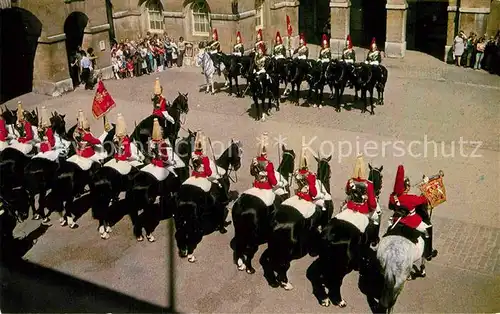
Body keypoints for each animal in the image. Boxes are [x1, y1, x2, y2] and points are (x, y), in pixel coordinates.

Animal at [231, 146, 296, 274]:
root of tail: (241, 208)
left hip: (239, 230)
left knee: (239, 247)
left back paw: (241, 264)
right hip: (252, 236)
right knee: (249, 251)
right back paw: (249, 269)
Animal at [306, 166, 384, 308]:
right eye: (380, 177)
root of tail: (328, 237)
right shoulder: (366, 244)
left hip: (325, 259)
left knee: (318, 277)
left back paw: (324, 299)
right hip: (339, 266)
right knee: (335, 283)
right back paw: (339, 300)